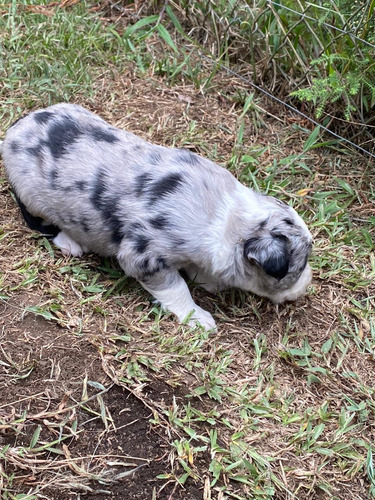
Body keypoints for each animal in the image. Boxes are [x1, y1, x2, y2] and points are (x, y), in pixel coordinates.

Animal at [0, 103, 312, 330]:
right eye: (299, 266)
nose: (307, 285)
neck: (228, 220)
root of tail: (16, 127)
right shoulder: (143, 258)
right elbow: (177, 288)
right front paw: (199, 318)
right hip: (30, 196)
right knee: (37, 221)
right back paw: (70, 243)